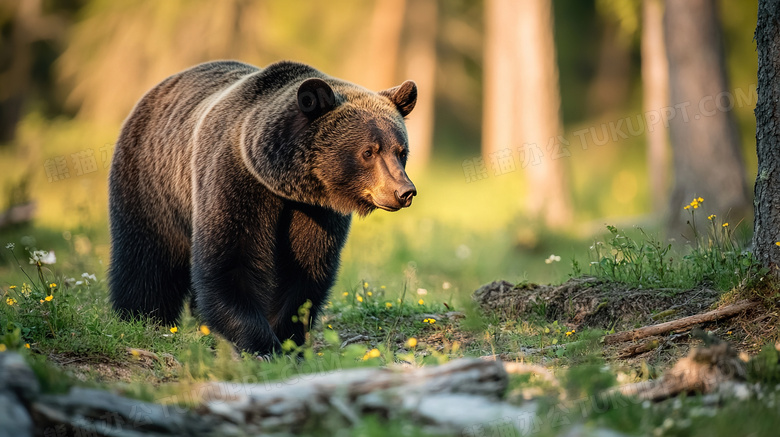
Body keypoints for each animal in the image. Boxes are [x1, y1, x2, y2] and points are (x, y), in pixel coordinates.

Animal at [108, 60, 420, 354]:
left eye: (401, 151)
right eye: (368, 151)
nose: (404, 191)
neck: (284, 183)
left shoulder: (316, 212)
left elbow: (306, 270)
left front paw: (288, 341)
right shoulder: (235, 181)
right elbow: (232, 262)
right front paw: (260, 345)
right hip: (152, 183)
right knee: (146, 257)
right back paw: (142, 316)